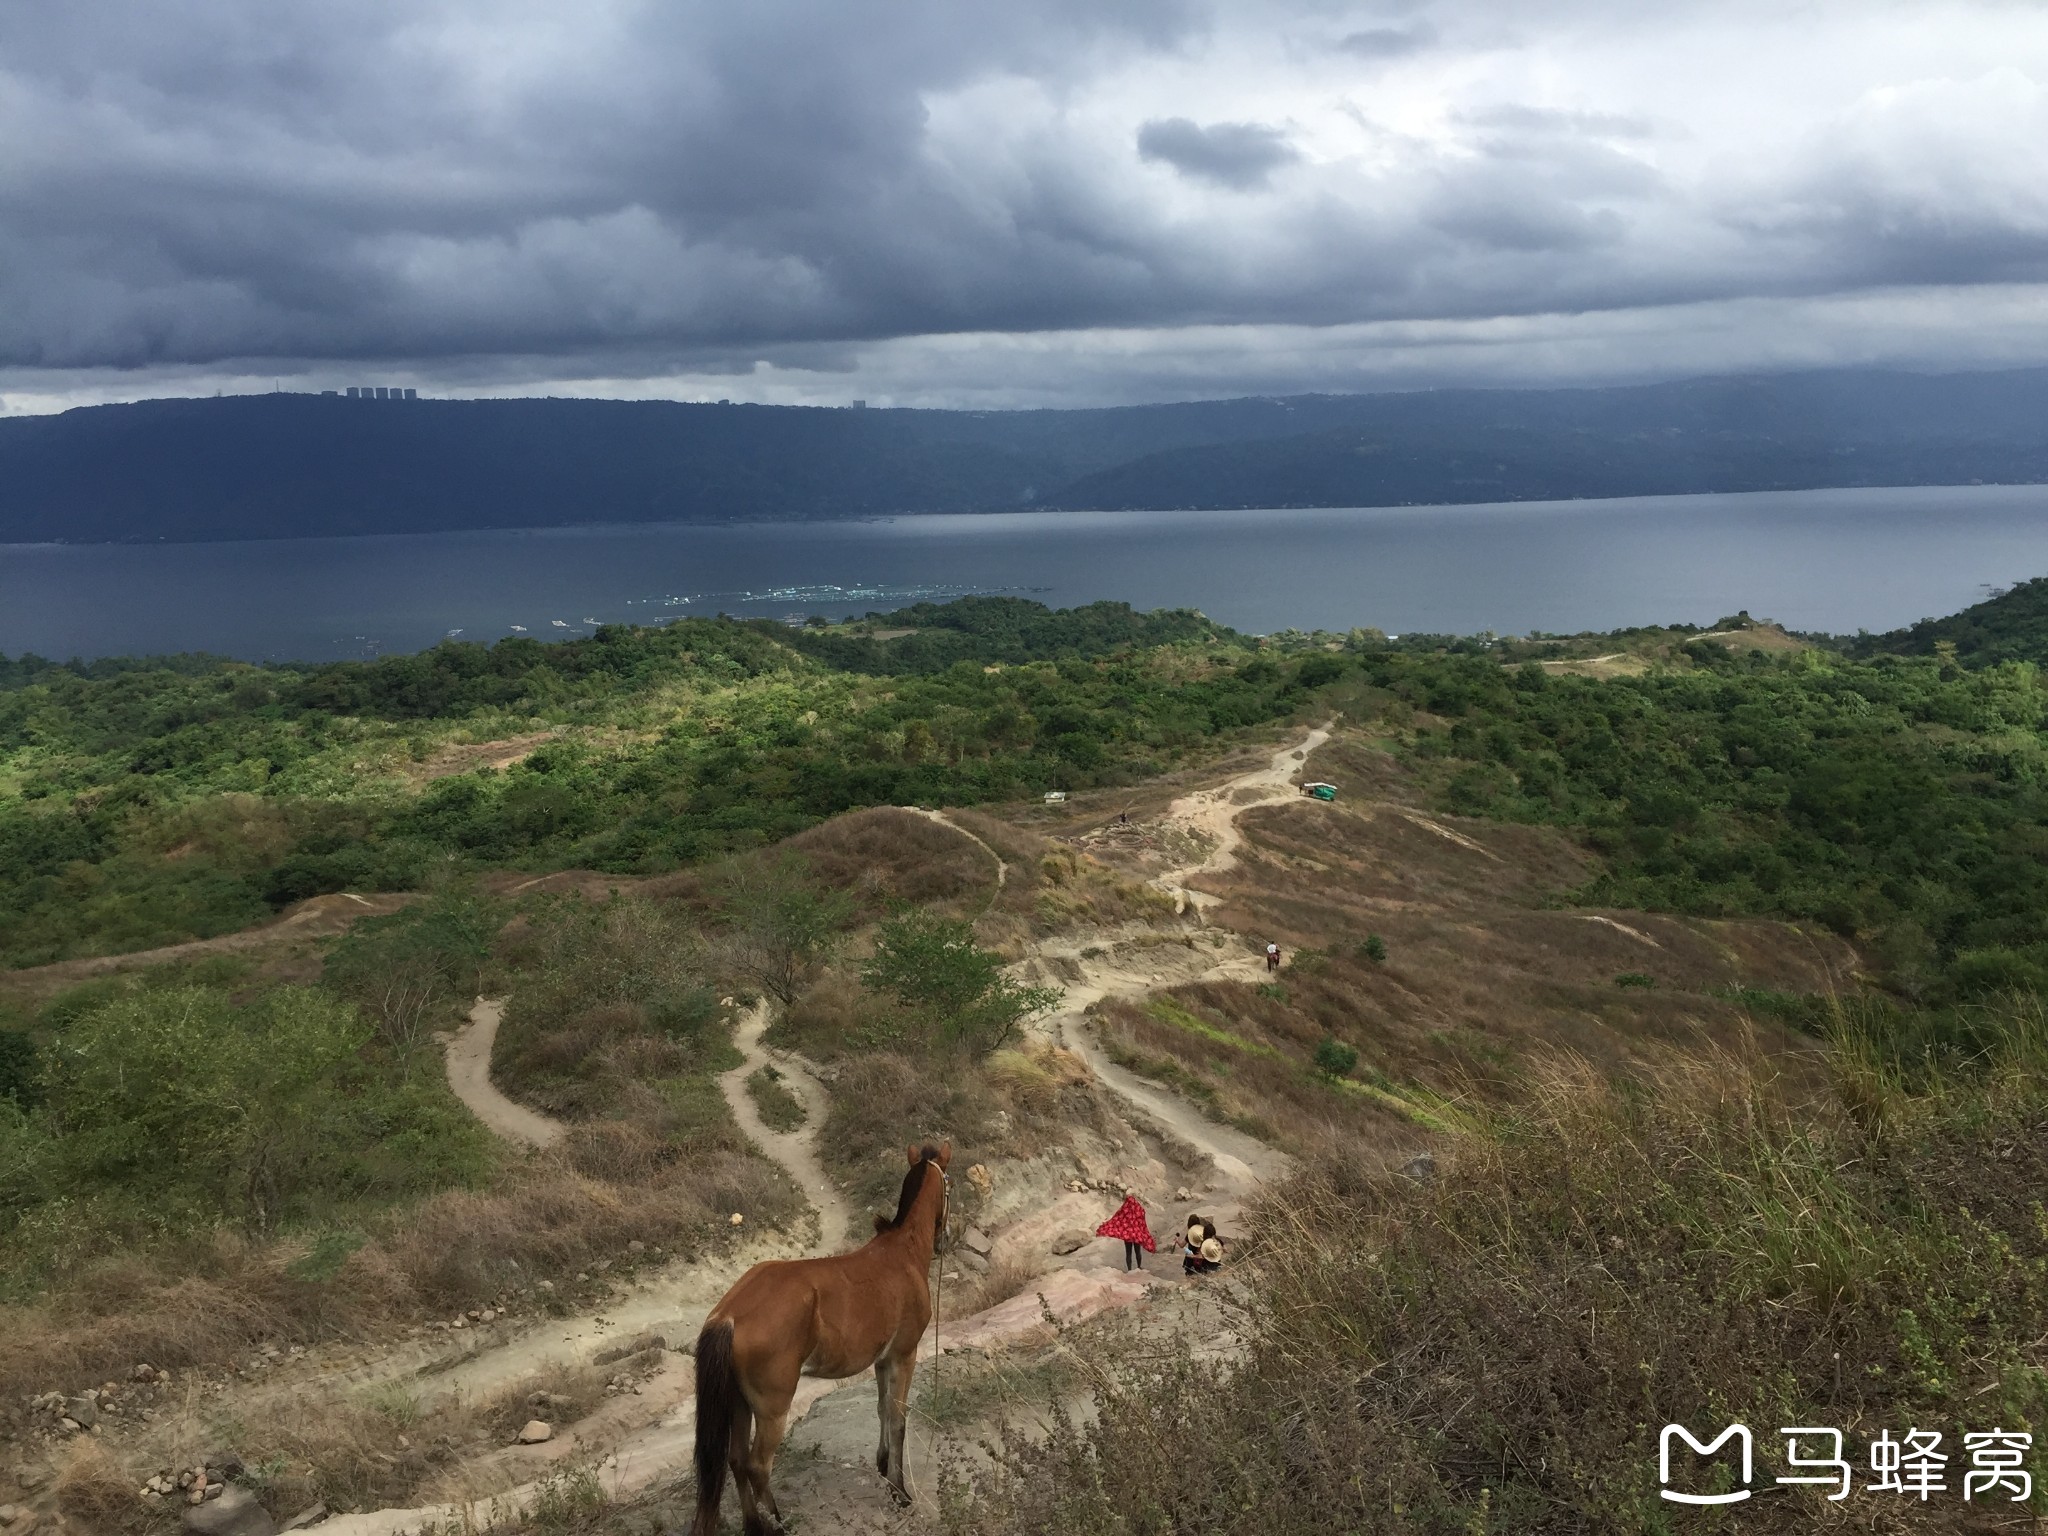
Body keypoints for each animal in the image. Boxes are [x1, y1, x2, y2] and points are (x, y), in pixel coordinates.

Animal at [688, 1138, 942, 1531]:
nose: (945, 1236)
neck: (902, 1252)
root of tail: (729, 1314)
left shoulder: (883, 1360)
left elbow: (882, 1411)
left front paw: (884, 1467)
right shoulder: (905, 1354)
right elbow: (898, 1419)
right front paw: (899, 1491)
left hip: (739, 1402)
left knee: (736, 1460)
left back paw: (755, 1524)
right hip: (772, 1410)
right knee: (757, 1465)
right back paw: (777, 1522)